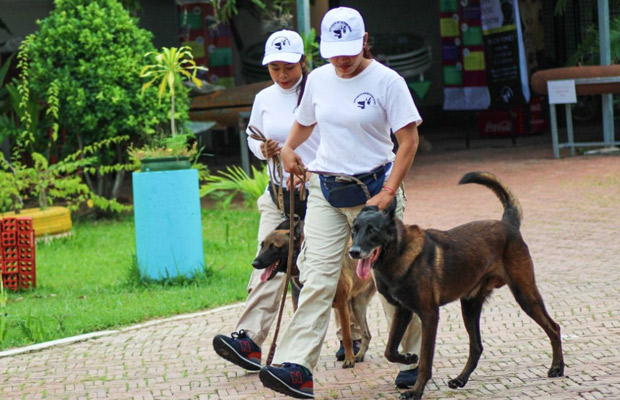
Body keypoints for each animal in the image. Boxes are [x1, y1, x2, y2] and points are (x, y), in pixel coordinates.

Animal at [253, 220, 378, 368]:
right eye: (262, 246)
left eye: (274, 247)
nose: (254, 263)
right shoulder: (302, 305)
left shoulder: (342, 305)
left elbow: (347, 336)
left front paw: (349, 359)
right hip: (358, 305)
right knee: (367, 334)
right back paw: (359, 355)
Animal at [348, 172, 560, 400]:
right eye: (354, 231)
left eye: (372, 231)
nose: (353, 252)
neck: (399, 252)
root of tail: (508, 224)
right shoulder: (403, 311)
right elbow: (390, 350)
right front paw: (407, 358)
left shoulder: (429, 315)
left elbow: (425, 361)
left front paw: (416, 390)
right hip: (469, 307)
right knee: (476, 347)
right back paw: (460, 379)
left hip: (525, 295)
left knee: (554, 327)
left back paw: (557, 367)